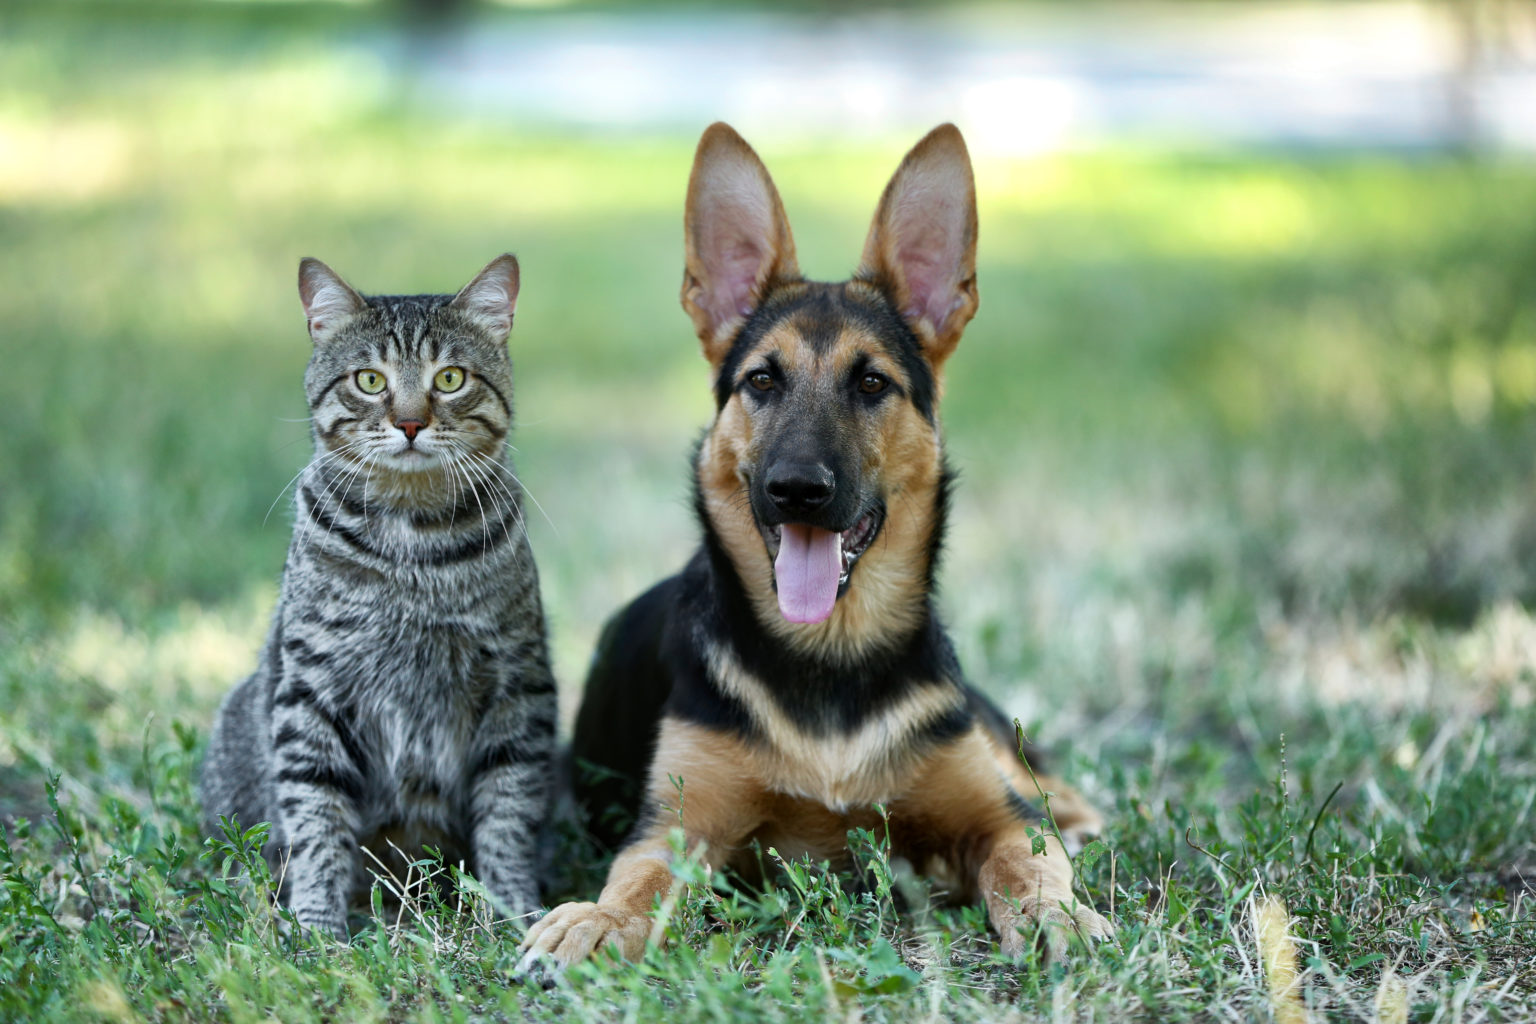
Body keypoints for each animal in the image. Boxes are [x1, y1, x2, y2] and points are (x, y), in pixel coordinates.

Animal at [201, 256, 556, 939]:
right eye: (369, 380)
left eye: (449, 378)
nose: (411, 422)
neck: (411, 548)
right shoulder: (312, 689)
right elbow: (317, 819)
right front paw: (318, 927)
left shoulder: (517, 683)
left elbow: (508, 811)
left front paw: (514, 911)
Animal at [522, 124, 1112, 976]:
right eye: (762, 381)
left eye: (871, 383)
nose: (796, 490)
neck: (830, 655)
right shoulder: (676, 828)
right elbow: (636, 880)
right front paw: (596, 919)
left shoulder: (993, 816)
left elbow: (1026, 859)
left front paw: (1053, 914)